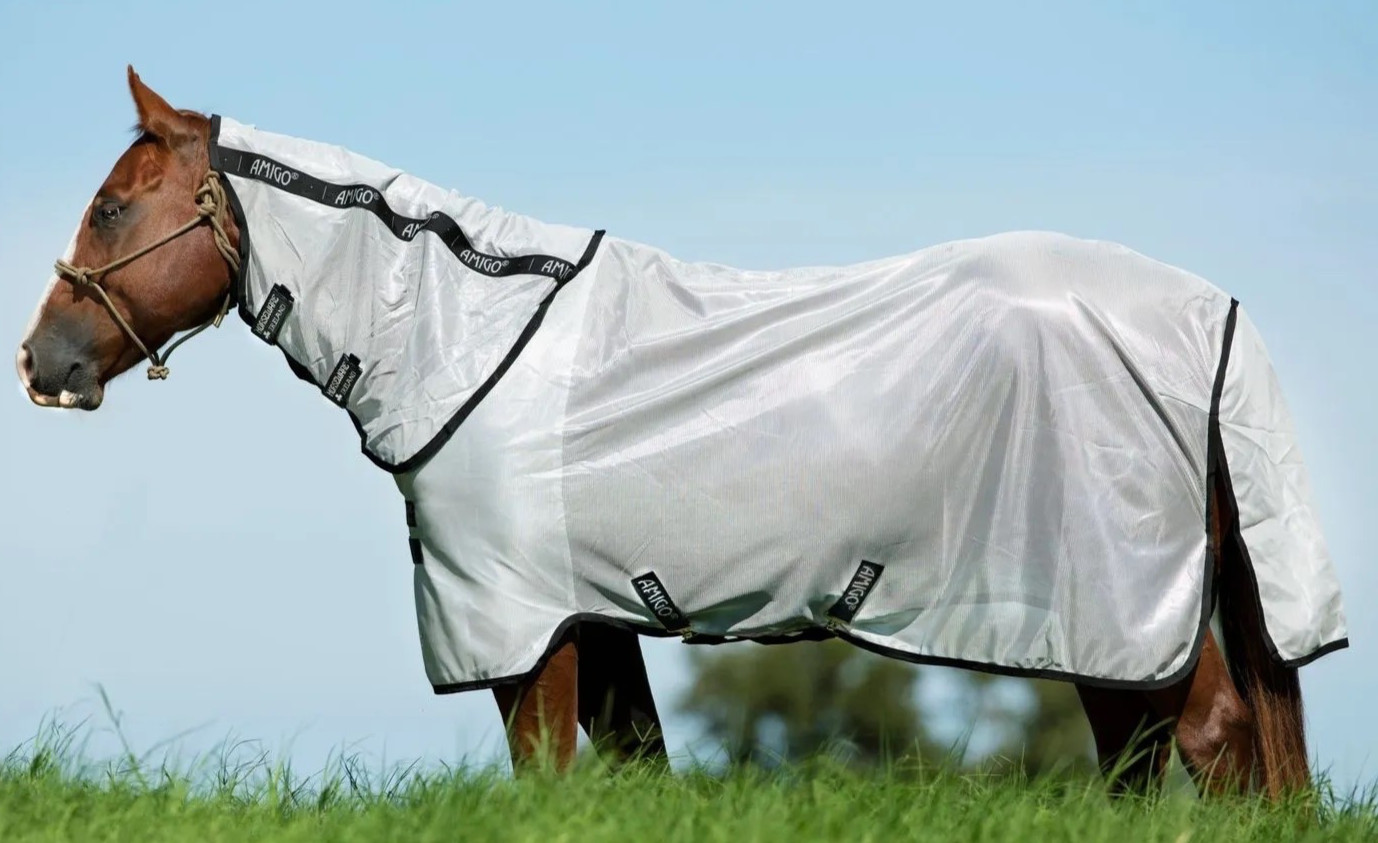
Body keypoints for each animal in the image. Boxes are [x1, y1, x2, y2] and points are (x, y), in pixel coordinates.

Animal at [17, 67, 1346, 797]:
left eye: (111, 207)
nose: (41, 363)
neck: (471, 336)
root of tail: (1206, 311)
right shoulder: (594, 619)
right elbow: (624, 769)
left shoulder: (523, 625)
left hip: (1112, 609)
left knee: (1210, 742)